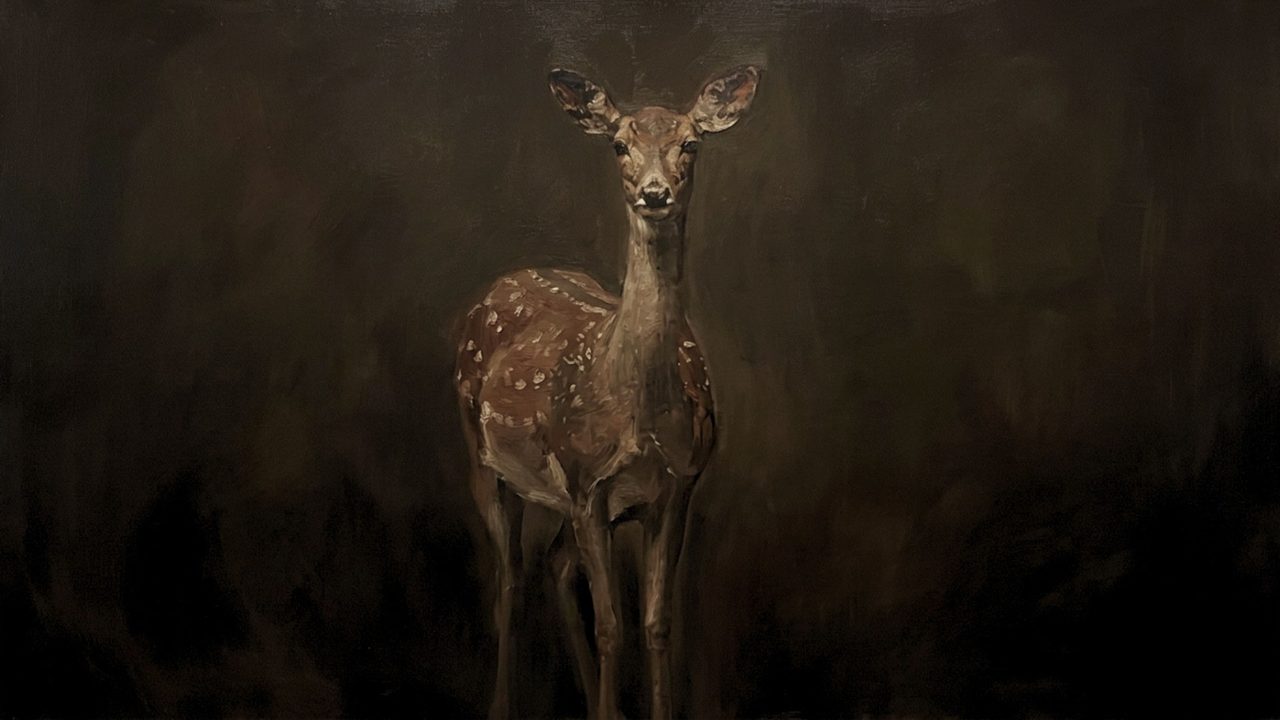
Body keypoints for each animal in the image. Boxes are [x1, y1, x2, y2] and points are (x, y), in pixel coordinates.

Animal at [454, 64, 760, 720]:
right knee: (510, 577)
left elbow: (656, 624)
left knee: (554, 564)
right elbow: (612, 626)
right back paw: (503, 703)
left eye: (690, 143)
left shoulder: (676, 489)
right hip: (481, 453)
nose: (654, 193)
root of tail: (499, 283)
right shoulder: (586, 483)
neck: (637, 411)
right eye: (619, 145)